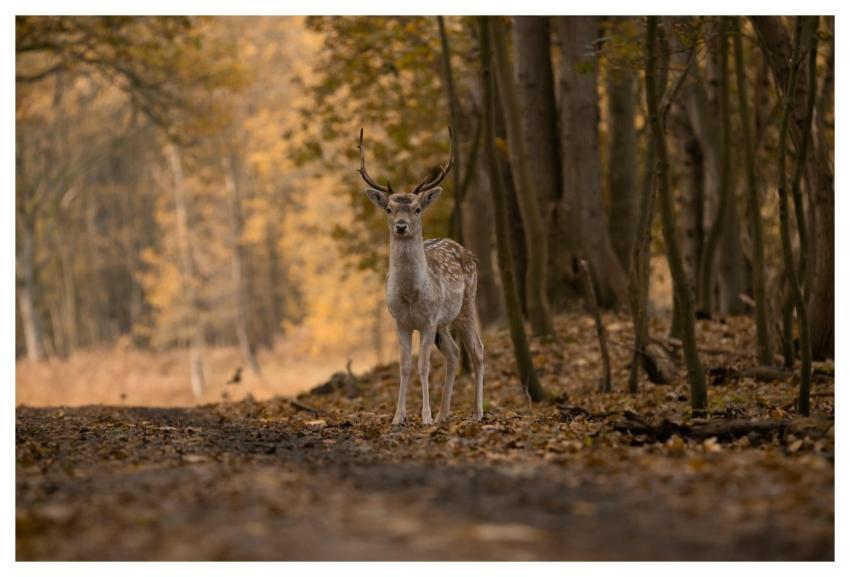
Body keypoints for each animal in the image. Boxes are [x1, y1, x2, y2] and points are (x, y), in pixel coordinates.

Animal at [359, 128, 485, 425]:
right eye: (389, 209)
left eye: (417, 209)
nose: (401, 226)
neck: (410, 295)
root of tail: (466, 250)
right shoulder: (400, 322)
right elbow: (405, 366)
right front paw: (399, 417)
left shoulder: (427, 321)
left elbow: (424, 366)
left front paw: (424, 417)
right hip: (444, 323)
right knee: (454, 353)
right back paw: (443, 414)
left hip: (466, 304)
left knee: (477, 350)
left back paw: (477, 412)